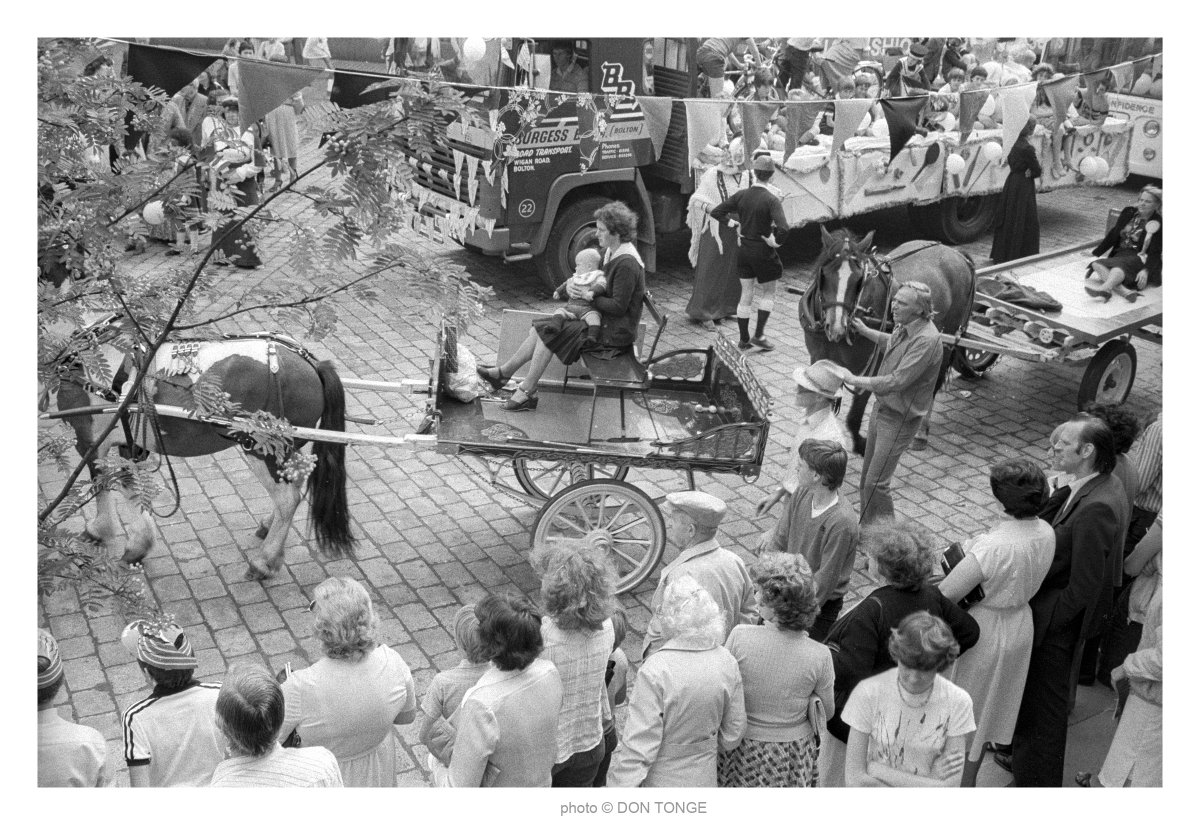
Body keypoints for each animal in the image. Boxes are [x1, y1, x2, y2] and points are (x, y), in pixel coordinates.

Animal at [51, 321, 350, 580]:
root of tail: (314, 365)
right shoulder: (129, 444)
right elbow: (130, 486)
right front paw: (137, 543)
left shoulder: (89, 440)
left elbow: (103, 483)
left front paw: (104, 532)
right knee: (294, 486)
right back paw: (268, 528)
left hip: (262, 449)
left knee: (288, 499)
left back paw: (264, 562)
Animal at [796, 226, 974, 450]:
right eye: (824, 274)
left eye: (858, 280)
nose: (836, 327)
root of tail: (958, 254)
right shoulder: (818, 357)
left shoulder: (875, 363)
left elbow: (860, 403)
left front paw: (860, 444)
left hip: (946, 340)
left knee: (935, 381)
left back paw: (921, 431)